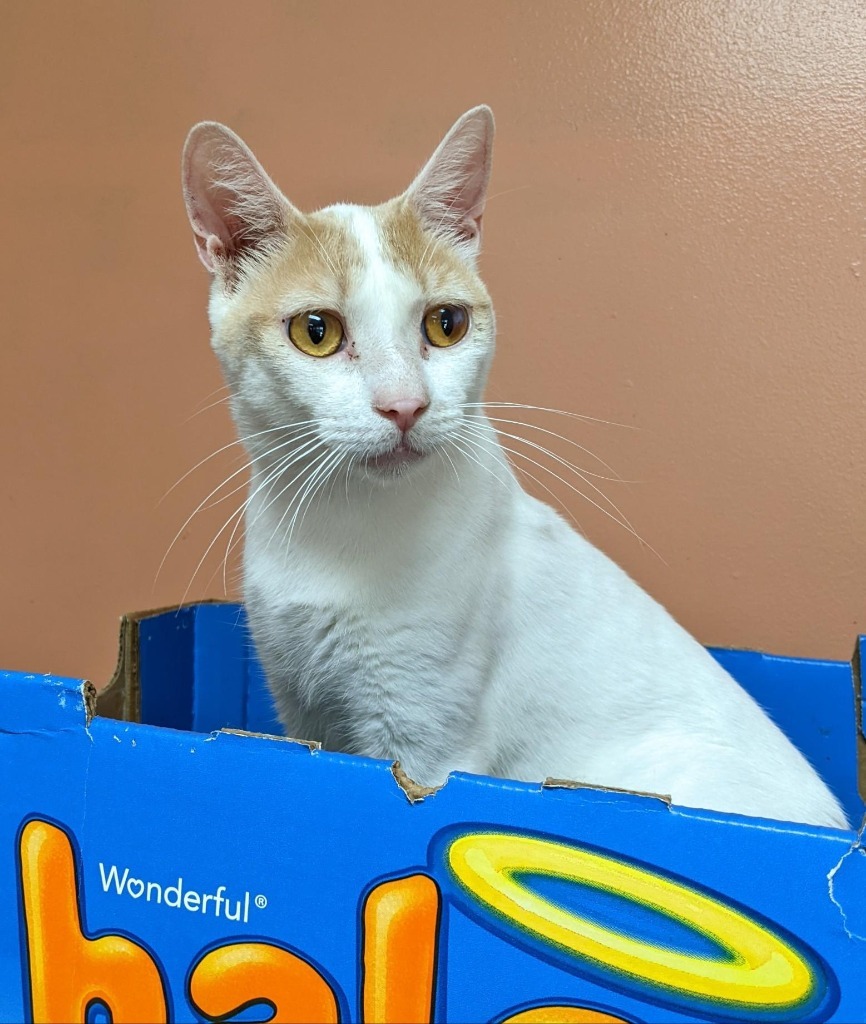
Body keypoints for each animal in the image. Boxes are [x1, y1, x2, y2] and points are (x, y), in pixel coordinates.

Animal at [180, 103, 851, 827]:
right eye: (317, 332)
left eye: (445, 323)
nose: (405, 405)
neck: (341, 527)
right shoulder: (302, 713)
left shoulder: (421, 752)